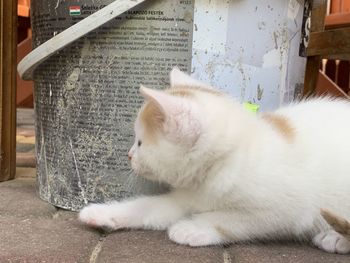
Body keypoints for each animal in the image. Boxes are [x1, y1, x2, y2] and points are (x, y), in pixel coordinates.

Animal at [79, 68, 350, 256]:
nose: (129, 155)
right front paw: (102, 213)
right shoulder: (188, 197)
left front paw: (193, 228)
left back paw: (336, 238)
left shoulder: (287, 209)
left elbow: (231, 220)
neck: (222, 165)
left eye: (140, 143)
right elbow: (146, 208)